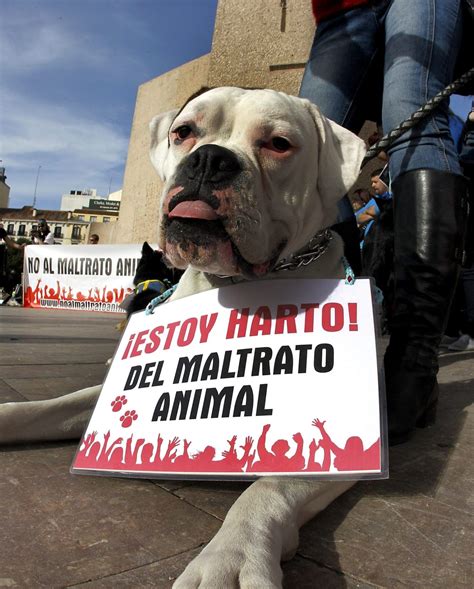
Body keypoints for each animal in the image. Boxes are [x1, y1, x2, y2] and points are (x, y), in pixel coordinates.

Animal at [0, 88, 364, 588]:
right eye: (184, 132)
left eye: (279, 143)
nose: (210, 159)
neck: (230, 287)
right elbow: (43, 408)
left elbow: (266, 489)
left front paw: (232, 556)